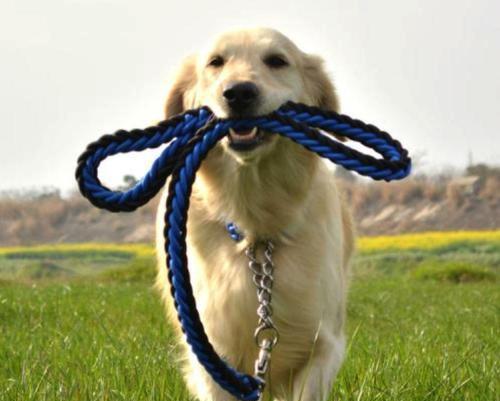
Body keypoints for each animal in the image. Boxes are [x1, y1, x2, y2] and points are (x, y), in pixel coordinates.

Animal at [154, 26, 354, 398]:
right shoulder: (213, 353)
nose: (239, 93)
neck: (257, 225)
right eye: (215, 62)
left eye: (277, 60)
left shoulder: (324, 344)